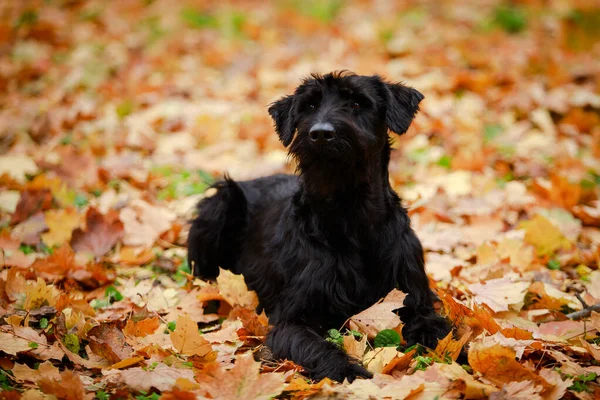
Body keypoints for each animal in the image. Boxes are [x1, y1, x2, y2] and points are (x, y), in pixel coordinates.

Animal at [189, 72, 450, 382]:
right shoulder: (292, 320)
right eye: (310, 106)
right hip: (220, 203)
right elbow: (317, 347)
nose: (321, 133)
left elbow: (438, 330)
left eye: (357, 102)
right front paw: (351, 372)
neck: (351, 215)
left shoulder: (415, 300)